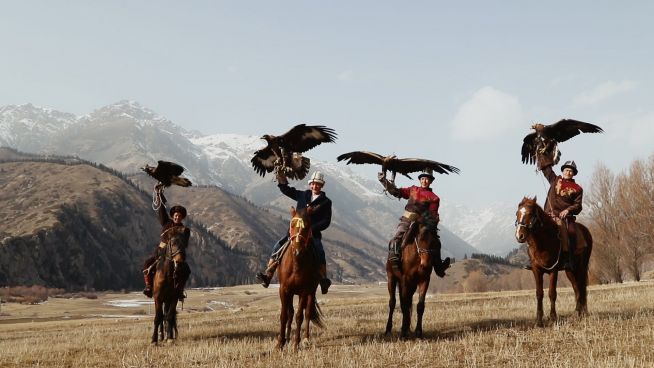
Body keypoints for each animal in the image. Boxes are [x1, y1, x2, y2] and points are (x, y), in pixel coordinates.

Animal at [276, 206, 326, 350]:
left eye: (307, 225)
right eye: (292, 224)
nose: (297, 251)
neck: (296, 264)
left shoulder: (304, 291)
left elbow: (299, 316)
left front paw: (296, 344)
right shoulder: (284, 289)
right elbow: (284, 315)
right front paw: (280, 343)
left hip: (311, 291)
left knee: (307, 313)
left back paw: (305, 339)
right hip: (292, 292)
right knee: (290, 313)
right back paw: (287, 338)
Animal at [516, 197, 596, 326]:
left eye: (530, 214)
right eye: (517, 213)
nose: (519, 236)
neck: (543, 242)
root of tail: (586, 231)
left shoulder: (553, 270)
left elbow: (552, 293)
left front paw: (553, 317)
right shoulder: (536, 270)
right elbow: (539, 294)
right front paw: (539, 320)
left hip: (581, 268)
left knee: (581, 287)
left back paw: (581, 313)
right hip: (570, 271)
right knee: (576, 288)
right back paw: (578, 312)